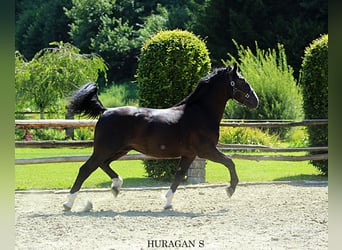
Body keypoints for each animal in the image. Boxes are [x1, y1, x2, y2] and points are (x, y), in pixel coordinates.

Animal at [62, 65, 258, 211]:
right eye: (241, 81)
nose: (256, 101)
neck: (200, 112)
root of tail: (105, 111)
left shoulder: (190, 154)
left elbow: (178, 176)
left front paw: (167, 203)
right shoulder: (206, 150)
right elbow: (230, 162)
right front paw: (230, 189)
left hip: (120, 150)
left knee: (103, 164)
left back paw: (116, 187)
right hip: (105, 149)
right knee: (85, 169)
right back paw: (68, 203)